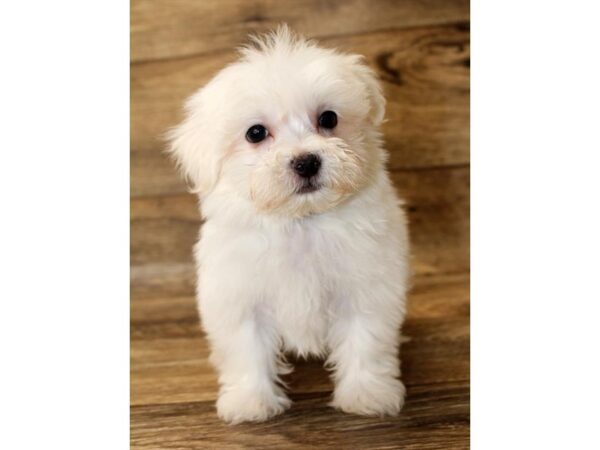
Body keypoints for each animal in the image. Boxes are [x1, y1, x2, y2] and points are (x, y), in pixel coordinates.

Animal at [171, 26, 410, 424]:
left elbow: (366, 339)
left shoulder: (365, 286)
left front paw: (367, 395)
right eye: (255, 133)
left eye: (328, 119)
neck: (300, 222)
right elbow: (246, 348)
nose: (306, 161)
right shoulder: (240, 296)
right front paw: (250, 401)